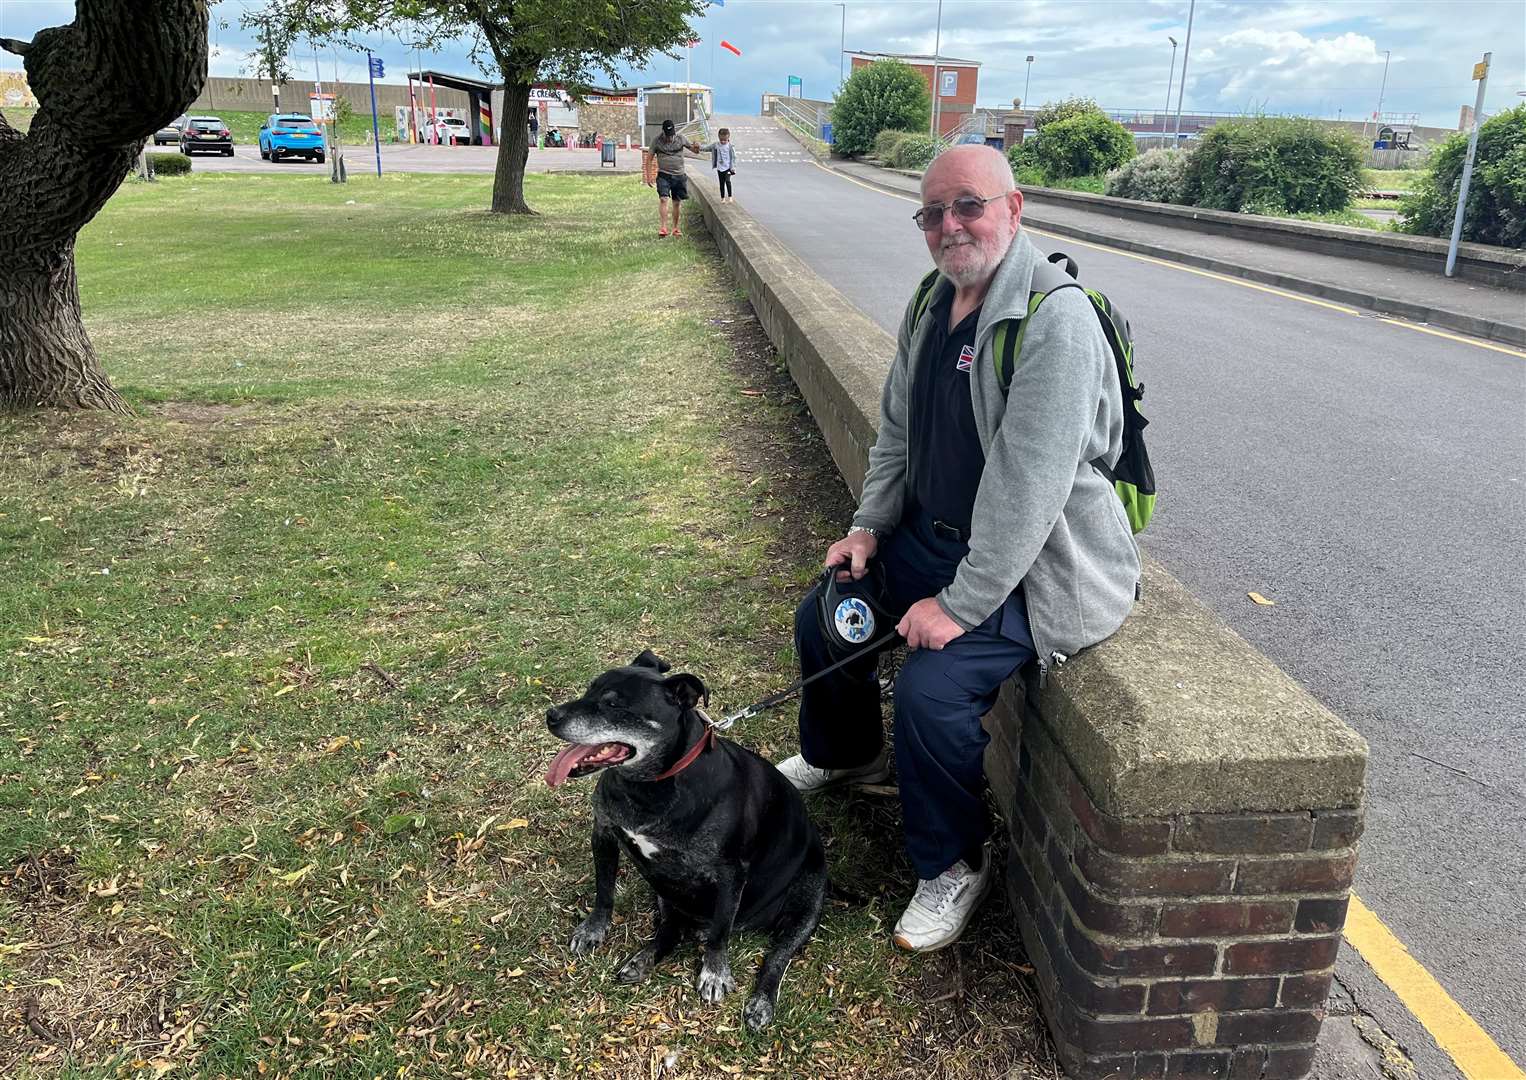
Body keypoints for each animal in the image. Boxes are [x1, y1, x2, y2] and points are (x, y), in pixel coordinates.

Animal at [549, 649, 830, 1031]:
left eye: (613, 704)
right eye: (589, 689)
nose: (551, 715)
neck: (651, 786)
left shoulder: (730, 874)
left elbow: (721, 932)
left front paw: (715, 973)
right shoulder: (604, 833)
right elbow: (603, 891)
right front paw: (594, 929)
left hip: (805, 905)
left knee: (776, 956)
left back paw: (761, 1002)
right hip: (665, 891)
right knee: (671, 929)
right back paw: (644, 958)